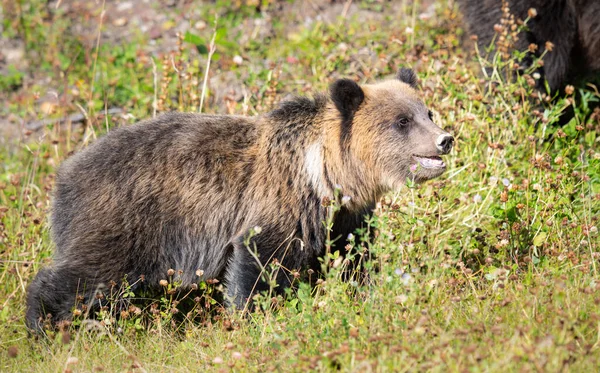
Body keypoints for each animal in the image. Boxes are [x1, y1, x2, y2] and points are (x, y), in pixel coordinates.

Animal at [25, 68, 452, 330]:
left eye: (427, 111)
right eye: (402, 121)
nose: (445, 139)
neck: (325, 176)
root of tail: (64, 176)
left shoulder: (343, 218)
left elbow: (354, 257)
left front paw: (365, 296)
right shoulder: (277, 206)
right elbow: (259, 265)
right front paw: (252, 315)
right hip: (124, 221)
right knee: (88, 276)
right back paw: (42, 323)